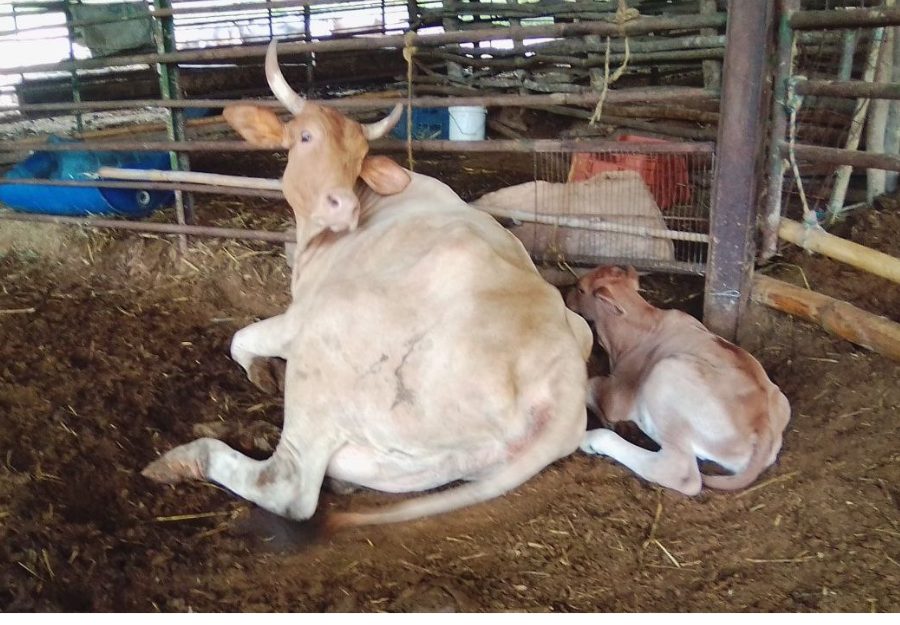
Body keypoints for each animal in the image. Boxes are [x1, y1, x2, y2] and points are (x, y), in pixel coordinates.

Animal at [141, 40, 593, 530]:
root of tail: (565, 382)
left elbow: (240, 340)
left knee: (287, 487)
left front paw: (262, 374)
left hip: (325, 351)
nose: (342, 206)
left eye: (358, 157)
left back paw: (185, 458)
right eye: (305, 137)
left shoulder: (297, 318)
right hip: (432, 456)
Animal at [567, 265, 791, 496]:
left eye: (580, 288)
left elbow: (591, 386)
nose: (567, 297)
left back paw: (591, 439)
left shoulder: (617, 397)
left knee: (680, 472)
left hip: (664, 375)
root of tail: (763, 423)